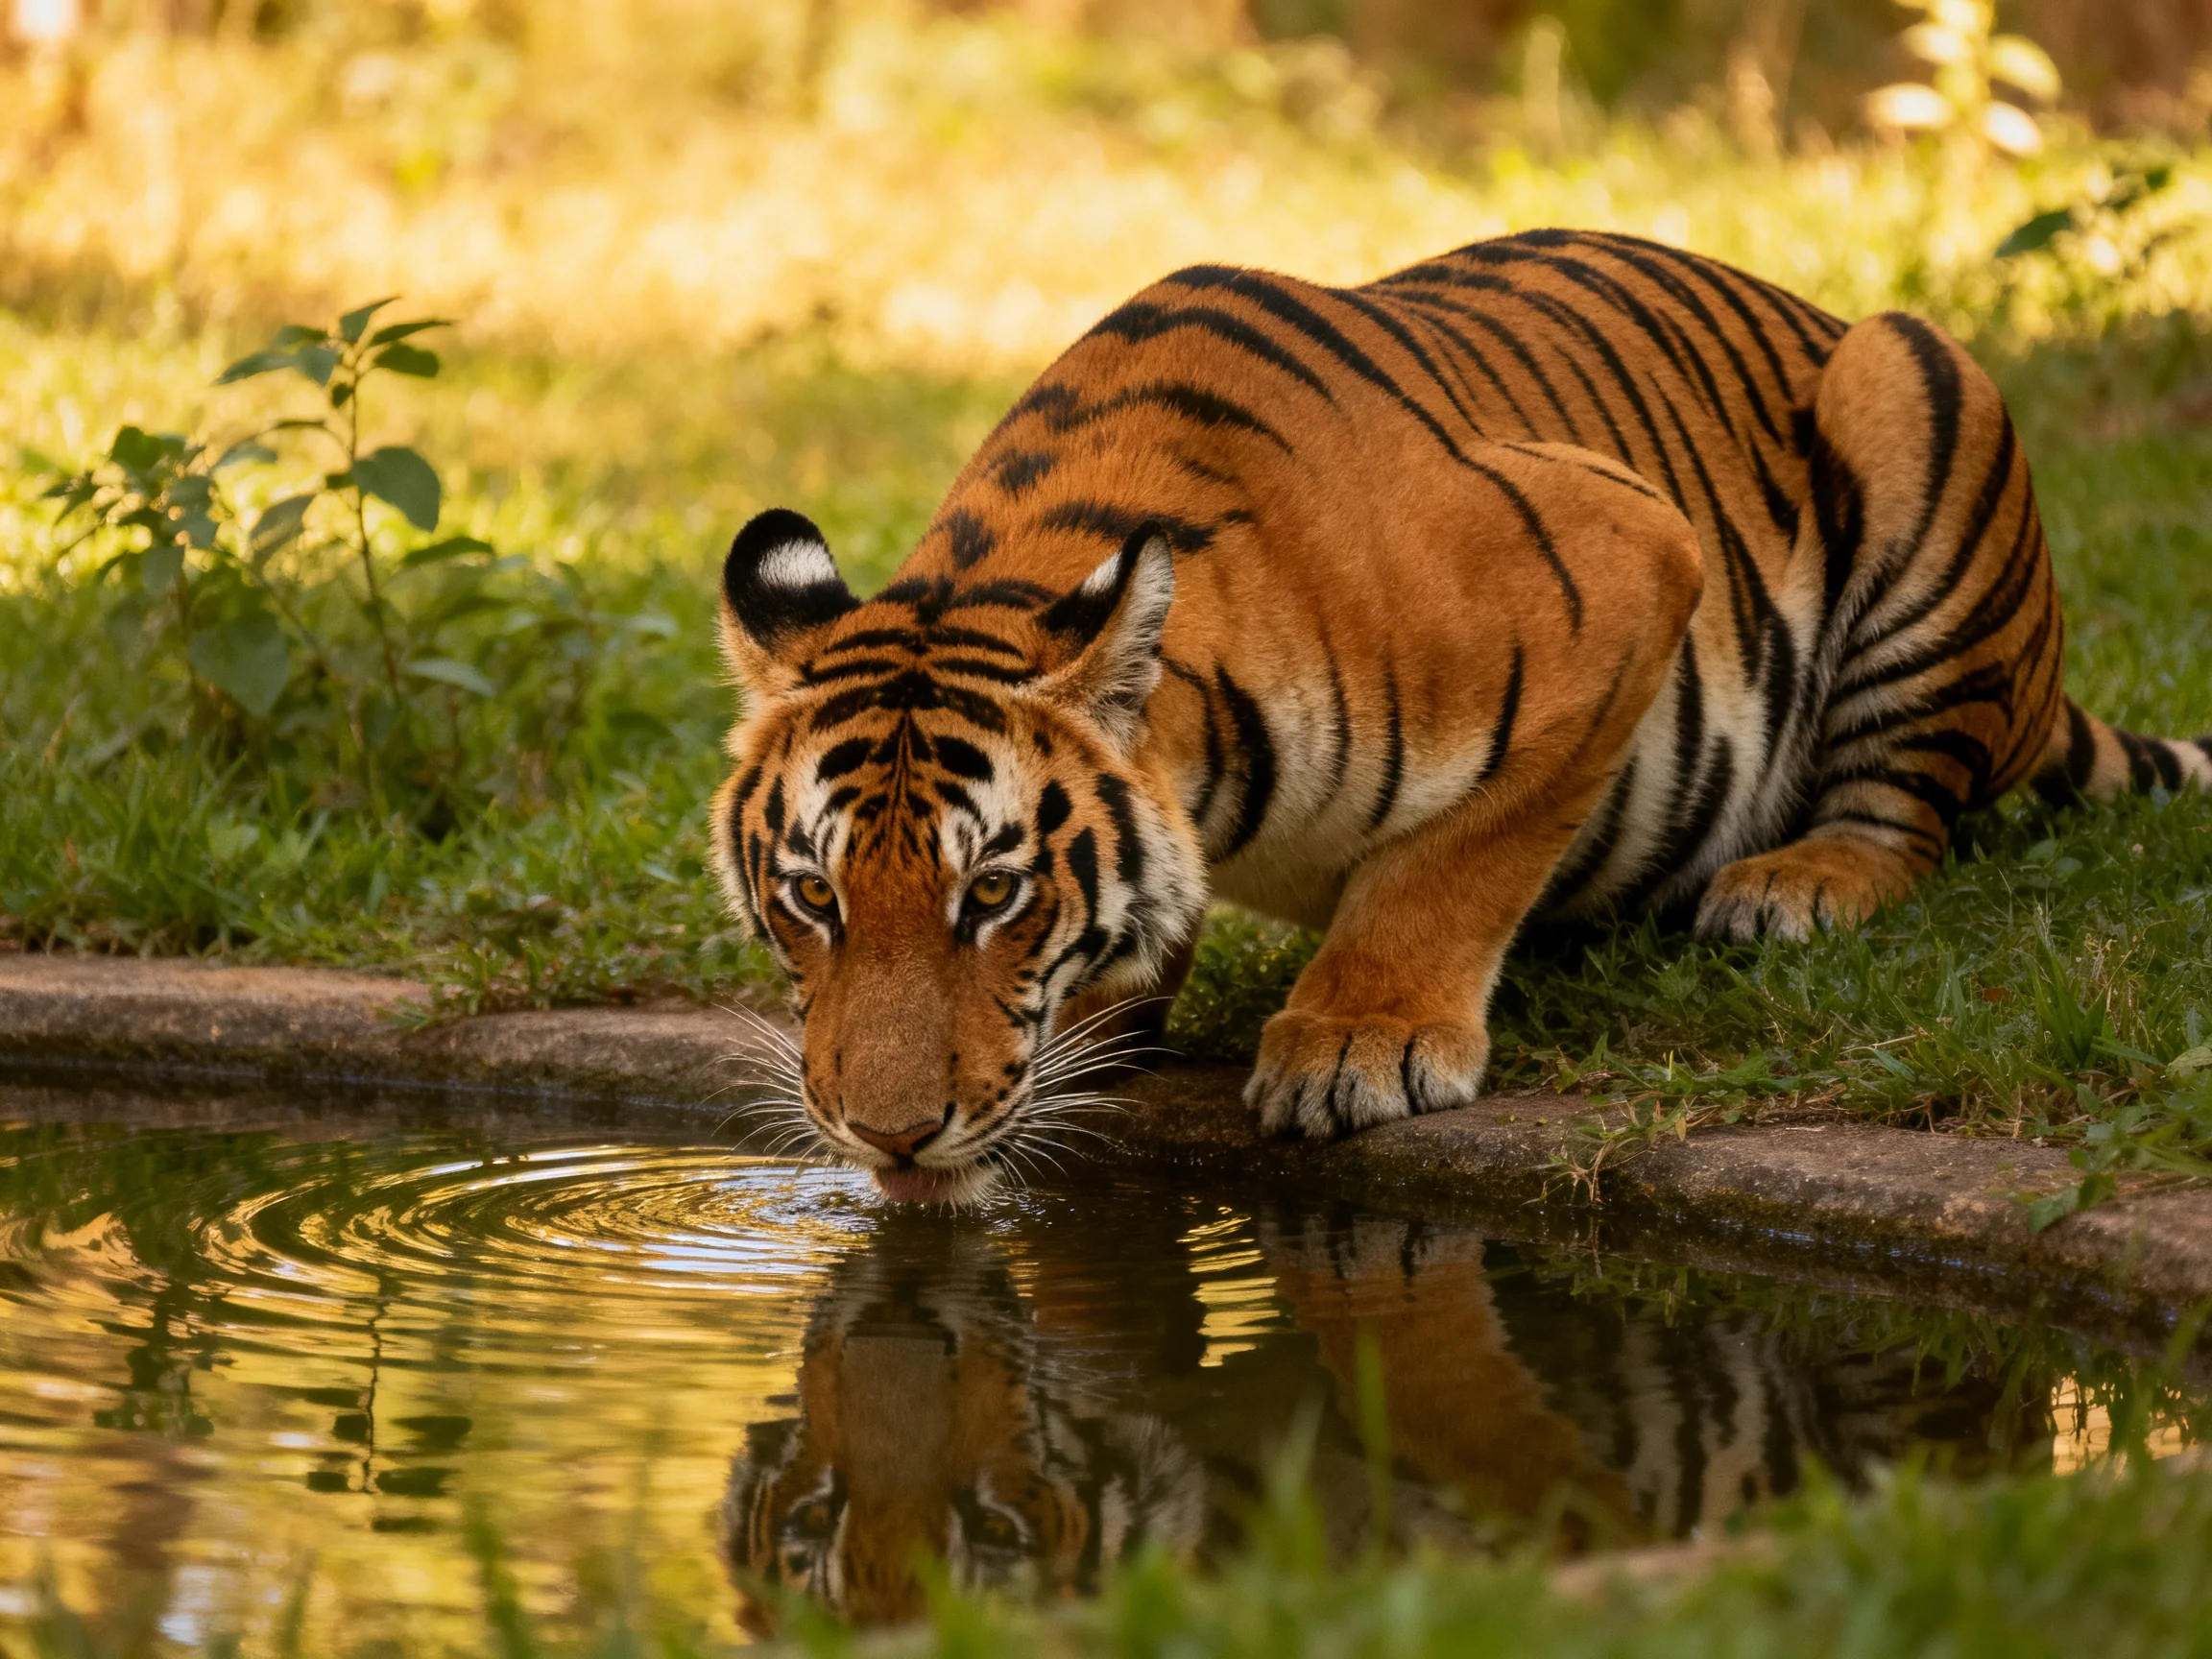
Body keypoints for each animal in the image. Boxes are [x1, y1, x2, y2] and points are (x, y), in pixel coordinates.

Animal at [711, 227, 2212, 1200]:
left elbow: (1451, 863)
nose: (890, 1138)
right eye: (814, 898)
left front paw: (1358, 1041)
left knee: (1904, 808)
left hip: (1916, 388)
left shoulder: (1627, 568)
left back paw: (1796, 885)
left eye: (992, 895)